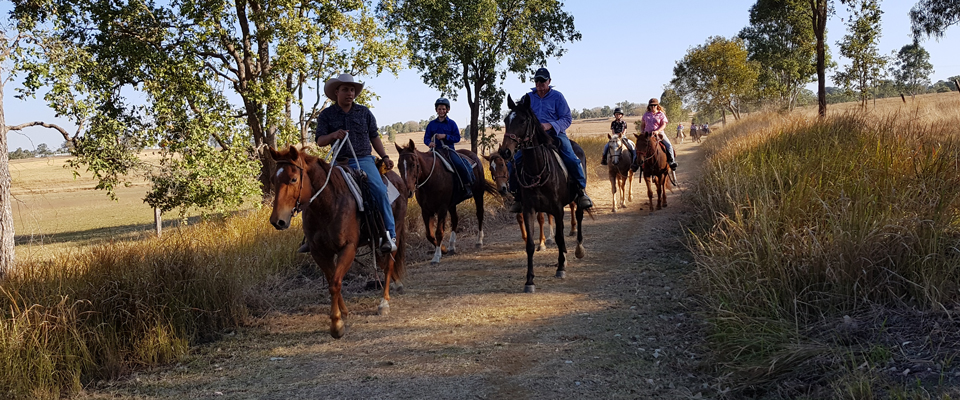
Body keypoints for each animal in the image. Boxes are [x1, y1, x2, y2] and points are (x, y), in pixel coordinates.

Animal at [268, 145, 406, 340]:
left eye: (294, 179)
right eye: (274, 179)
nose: (277, 221)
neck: (326, 204)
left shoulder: (347, 248)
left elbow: (335, 283)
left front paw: (336, 324)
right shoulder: (319, 252)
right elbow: (332, 279)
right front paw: (344, 313)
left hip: (396, 230)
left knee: (389, 264)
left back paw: (384, 302)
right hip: (372, 239)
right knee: (382, 262)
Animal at [502, 94, 584, 294]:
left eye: (523, 120)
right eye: (506, 120)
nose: (505, 151)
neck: (536, 168)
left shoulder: (558, 208)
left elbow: (560, 237)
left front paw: (561, 268)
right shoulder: (529, 209)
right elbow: (530, 245)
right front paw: (529, 281)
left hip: (577, 199)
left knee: (579, 217)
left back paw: (578, 250)